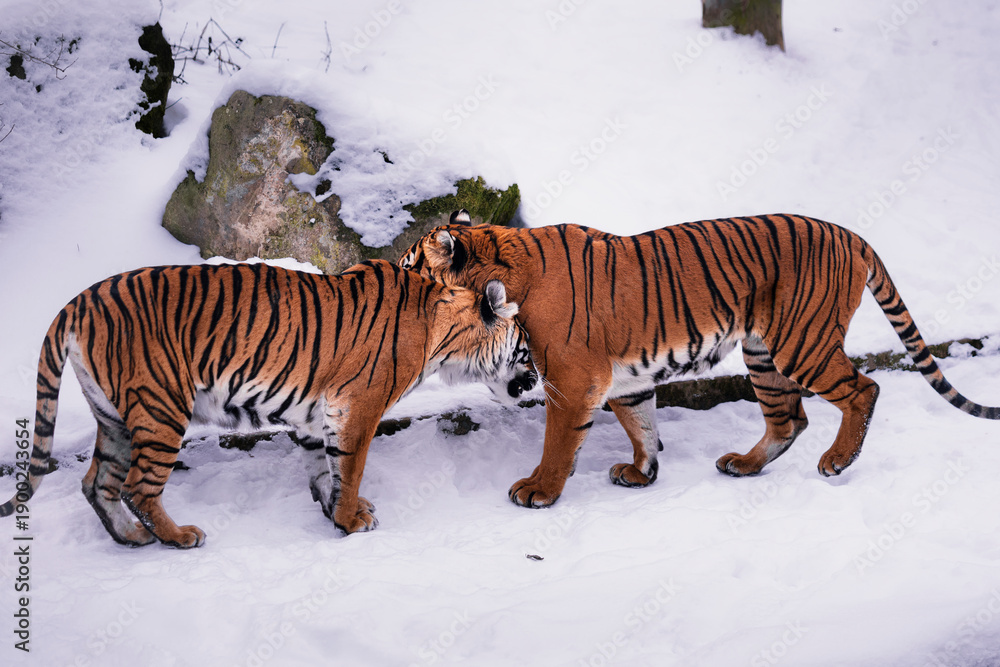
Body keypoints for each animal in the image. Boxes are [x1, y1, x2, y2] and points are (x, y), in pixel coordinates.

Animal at [0, 259, 536, 547]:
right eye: (526, 350)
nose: (535, 379)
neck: (445, 339)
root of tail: (79, 302)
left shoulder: (317, 412)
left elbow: (324, 467)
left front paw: (334, 508)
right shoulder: (357, 407)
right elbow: (351, 466)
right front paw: (349, 521)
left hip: (114, 418)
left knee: (96, 483)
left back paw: (130, 537)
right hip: (160, 408)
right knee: (137, 486)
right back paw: (178, 537)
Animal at [398, 210, 1000, 508]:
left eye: (408, 266)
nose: (395, 285)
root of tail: (851, 234)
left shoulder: (572, 378)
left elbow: (558, 443)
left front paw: (539, 491)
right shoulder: (623, 379)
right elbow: (641, 423)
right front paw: (642, 474)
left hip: (799, 342)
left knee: (863, 390)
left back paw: (837, 460)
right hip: (763, 354)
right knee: (789, 419)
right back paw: (744, 465)